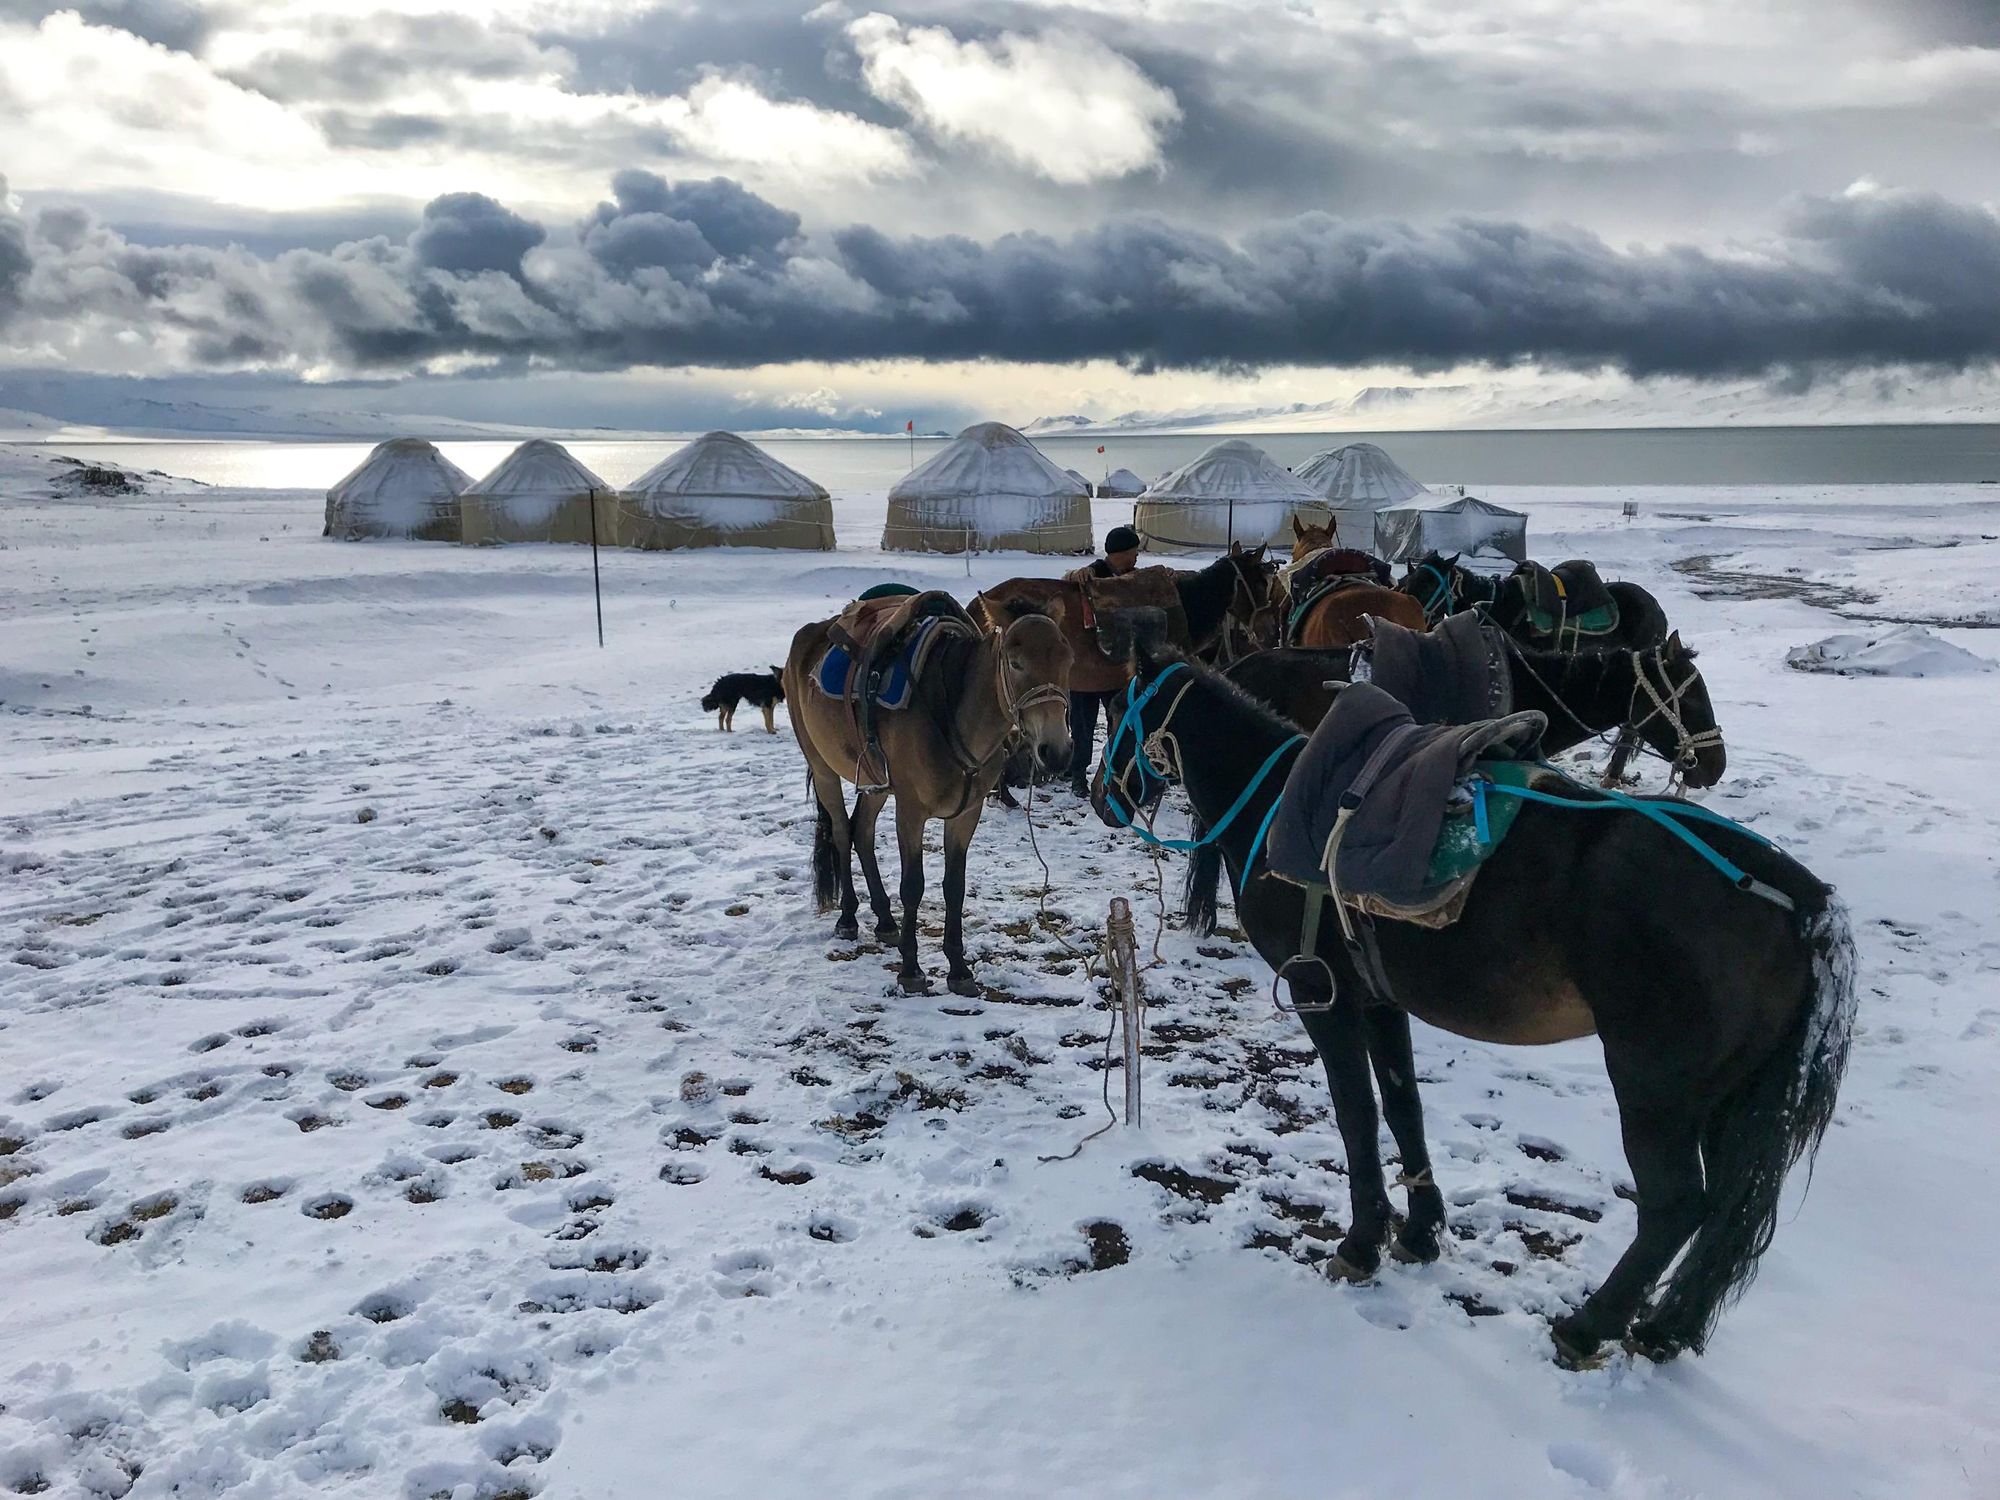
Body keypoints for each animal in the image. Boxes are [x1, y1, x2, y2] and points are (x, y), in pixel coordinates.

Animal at [780, 600, 1080, 1000]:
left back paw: (885, 920)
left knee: (862, 831)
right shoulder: (911, 811)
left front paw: (958, 968)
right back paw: (848, 916)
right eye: (1016, 663)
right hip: (823, 768)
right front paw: (911, 970)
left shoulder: (967, 813)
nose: (1057, 750)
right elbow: (913, 887)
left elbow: (954, 887)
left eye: (1068, 659)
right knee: (843, 834)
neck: (953, 715)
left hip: (876, 783)